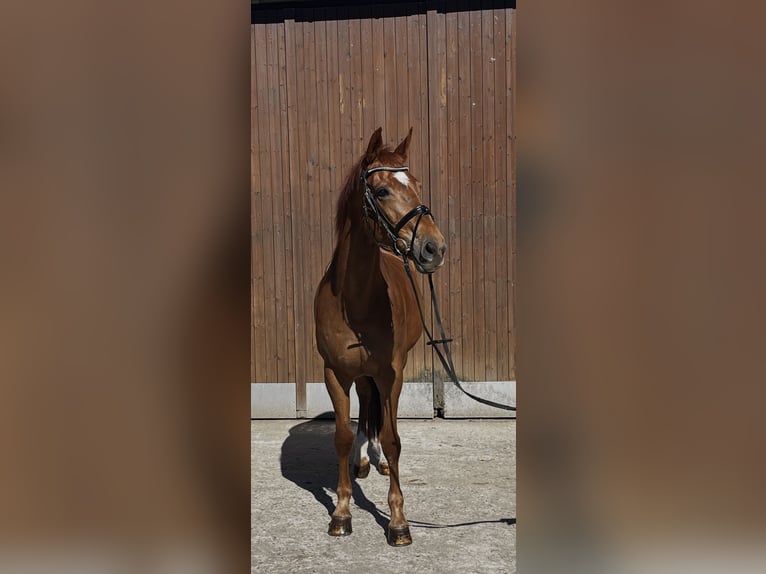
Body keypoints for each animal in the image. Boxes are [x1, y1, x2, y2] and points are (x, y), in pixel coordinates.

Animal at [314, 127, 447, 546]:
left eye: (417, 184)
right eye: (383, 190)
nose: (434, 248)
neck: (354, 300)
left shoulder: (392, 374)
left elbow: (393, 438)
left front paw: (398, 522)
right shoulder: (335, 373)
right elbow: (341, 437)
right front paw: (341, 513)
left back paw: (377, 459)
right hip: (358, 374)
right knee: (365, 404)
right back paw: (362, 458)